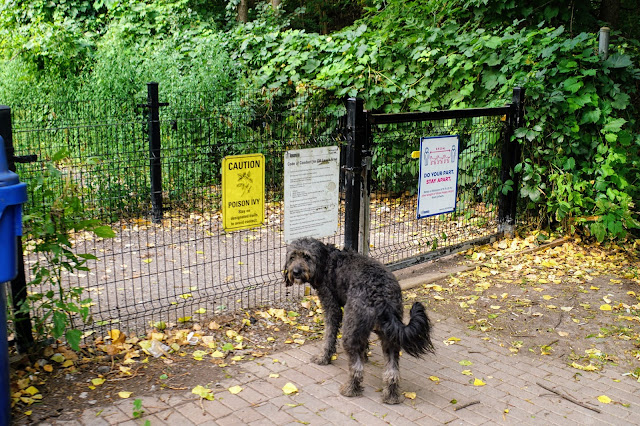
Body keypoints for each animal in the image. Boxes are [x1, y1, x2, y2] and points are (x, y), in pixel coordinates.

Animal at [284, 238, 436, 404]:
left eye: (306, 257)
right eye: (292, 256)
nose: (296, 272)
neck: (327, 260)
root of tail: (381, 294)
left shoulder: (332, 307)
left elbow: (329, 336)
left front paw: (323, 357)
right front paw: (365, 355)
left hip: (350, 332)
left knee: (357, 369)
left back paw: (350, 390)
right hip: (389, 336)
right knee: (392, 371)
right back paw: (390, 396)